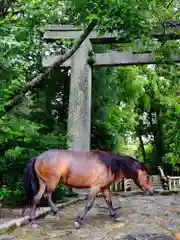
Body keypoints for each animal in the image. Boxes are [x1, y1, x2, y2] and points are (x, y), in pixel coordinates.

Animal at [23, 148, 154, 229]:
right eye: (147, 176)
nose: (152, 191)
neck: (109, 165)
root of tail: (38, 157)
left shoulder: (105, 188)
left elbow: (109, 202)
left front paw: (115, 216)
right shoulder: (95, 187)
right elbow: (89, 204)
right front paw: (78, 221)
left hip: (43, 183)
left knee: (36, 198)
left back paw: (33, 222)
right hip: (51, 182)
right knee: (47, 196)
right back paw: (56, 212)